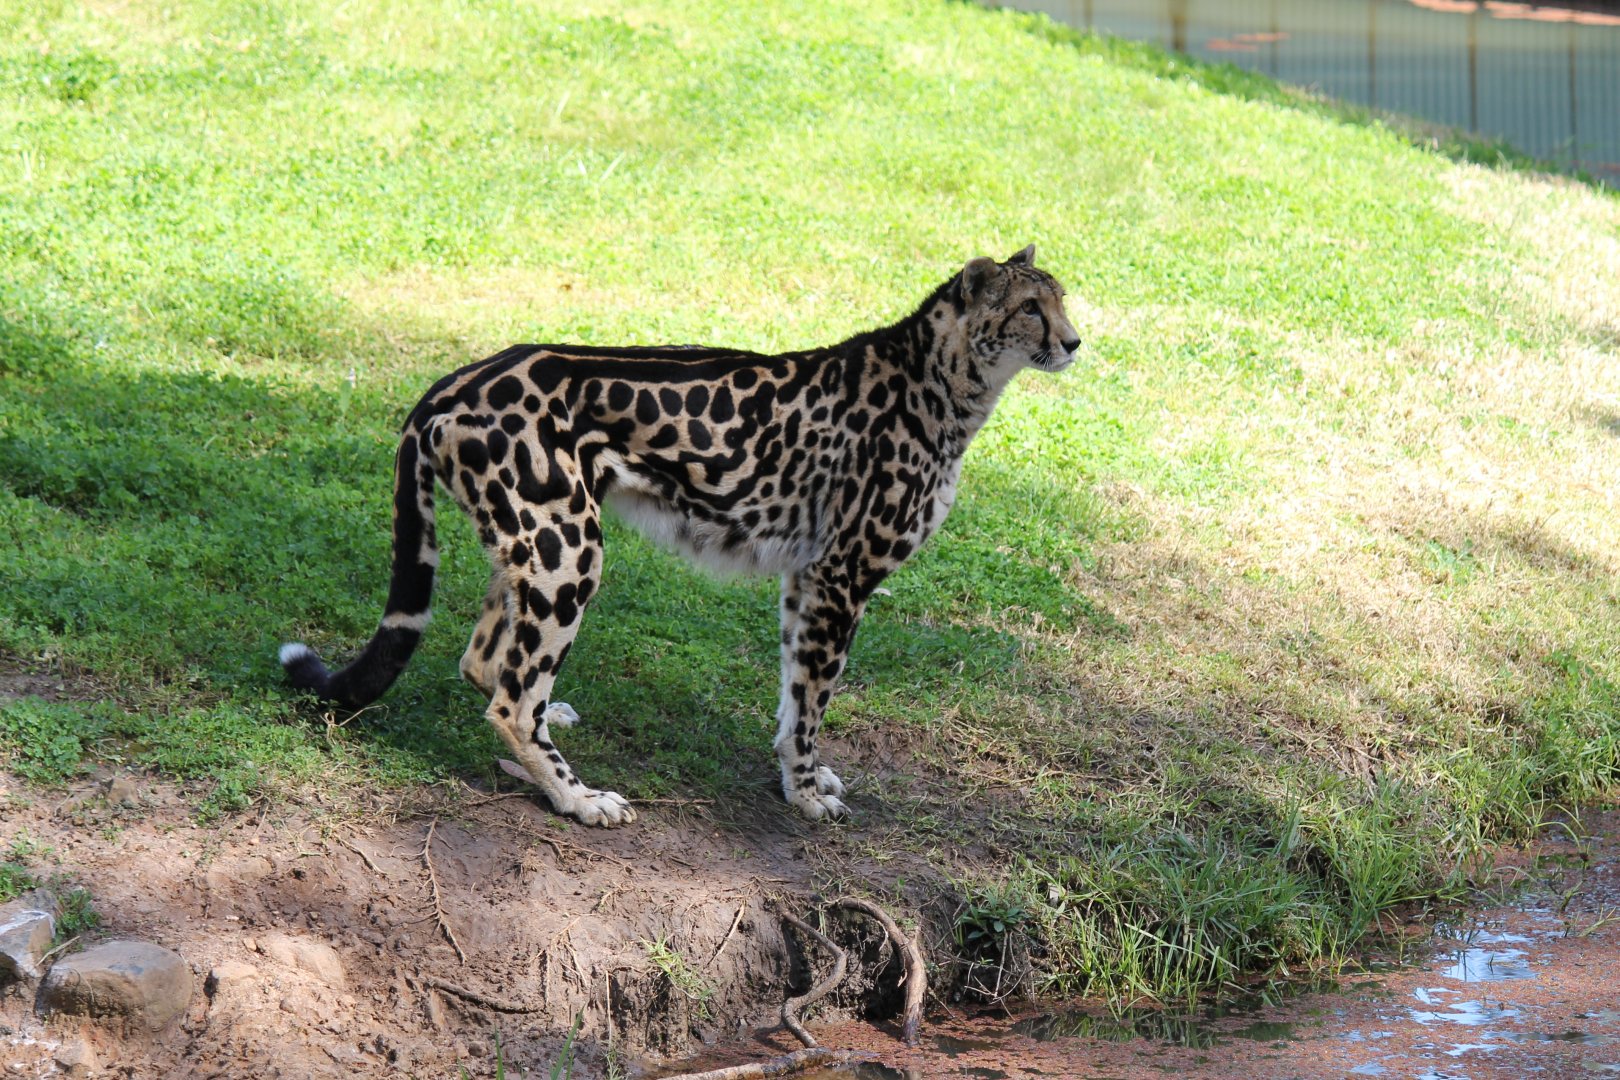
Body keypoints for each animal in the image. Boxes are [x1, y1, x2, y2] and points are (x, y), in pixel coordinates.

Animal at [279, 245, 1081, 827]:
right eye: (1030, 307)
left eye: (1062, 298)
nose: (1075, 341)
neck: (946, 381)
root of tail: (456, 379)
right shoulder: (841, 577)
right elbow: (815, 697)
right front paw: (803, 792)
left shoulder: (807, 575)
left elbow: (794, 695)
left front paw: (799, 773)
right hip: (570, 547)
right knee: (508, 699)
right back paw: (576, 797)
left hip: (529, 541)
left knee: (486, 662)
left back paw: (553, 713)